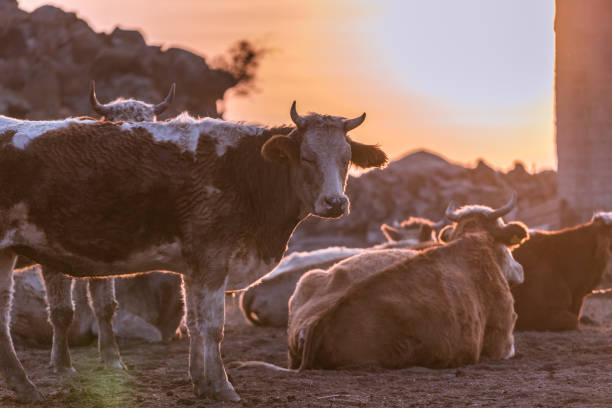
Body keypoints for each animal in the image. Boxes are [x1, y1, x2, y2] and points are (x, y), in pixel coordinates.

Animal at [0, 102, 384, 402]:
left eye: (347, 159)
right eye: (306, 157)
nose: (335, 203)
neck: (241, 174)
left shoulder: (196, 267)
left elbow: (196, 323)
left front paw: (201, 383)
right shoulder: (213, 261)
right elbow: (213, 327)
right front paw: (223, 387)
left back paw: (25, 387)